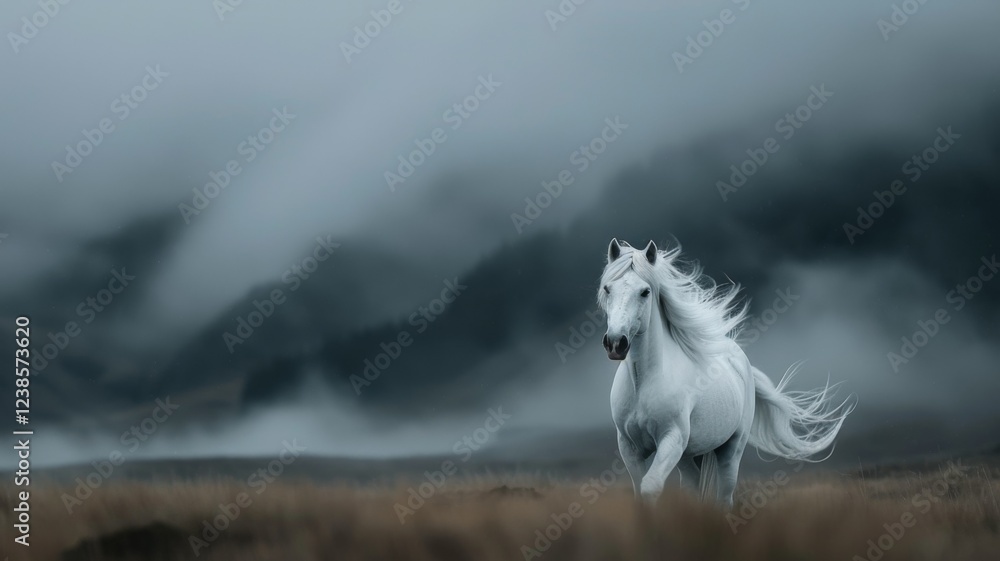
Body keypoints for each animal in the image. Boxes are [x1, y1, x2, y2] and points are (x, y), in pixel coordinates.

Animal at [597, 238, 854, 507]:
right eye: (607, 288)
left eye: (645, 292)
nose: (615, 343)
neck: (644, 382)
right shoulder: (629, 447)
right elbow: (640, 493)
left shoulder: (671, 439)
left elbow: (650, 487)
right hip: (689, 455)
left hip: (729, 451)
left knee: (725, 497)